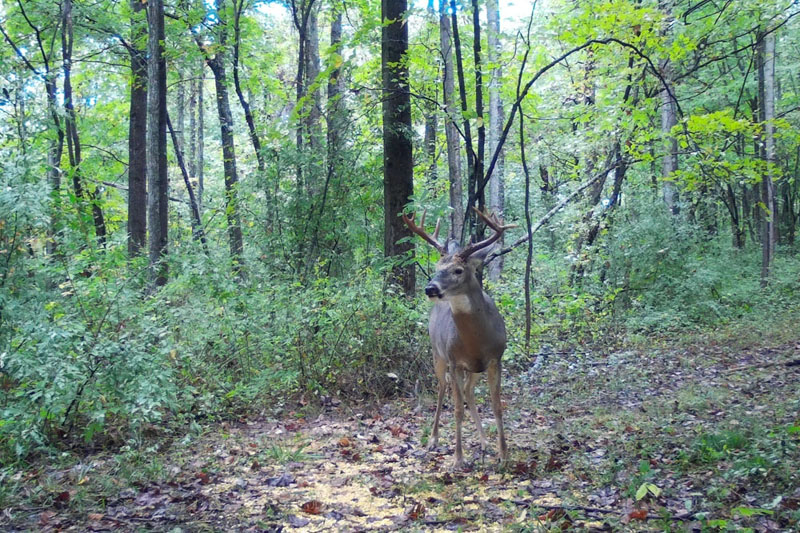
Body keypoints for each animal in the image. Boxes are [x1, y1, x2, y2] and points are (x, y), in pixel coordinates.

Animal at [402, 207, 514, 470]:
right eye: (436, 267)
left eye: (458, 270)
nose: (430, 288)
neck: (476, 341)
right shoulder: (454, 361)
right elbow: (456, 410)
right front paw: (458, 458)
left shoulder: (495, 358)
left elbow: (497, 406)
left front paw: (503, 455)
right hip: (437, 354)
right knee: (442, 390)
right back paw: (433, 439)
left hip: (473, 369)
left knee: (469, 393)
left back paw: (484, 442)